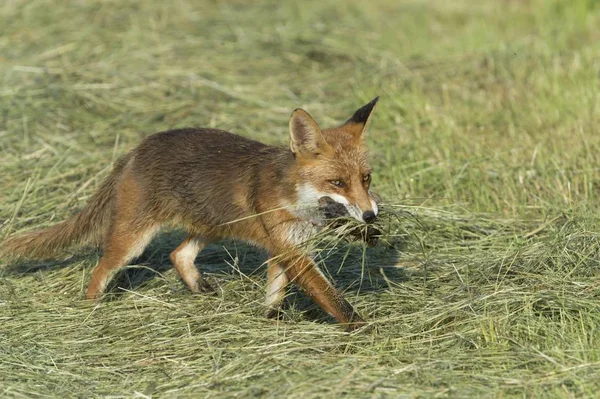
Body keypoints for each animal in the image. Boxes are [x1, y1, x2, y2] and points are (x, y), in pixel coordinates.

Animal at [1, 97, 380, 332]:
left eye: (366, 178)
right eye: (337, 182)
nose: (370, 217)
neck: (296, 200)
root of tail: (137, 149)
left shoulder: (288, 248)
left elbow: (275, 293)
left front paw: (270, 321)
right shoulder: (290, 250)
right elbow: (332, 298)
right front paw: (362, 331)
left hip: (212, 226)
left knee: (177, 253)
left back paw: (199, 286)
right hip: (133, 240)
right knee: (100, 272)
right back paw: (91, 311)